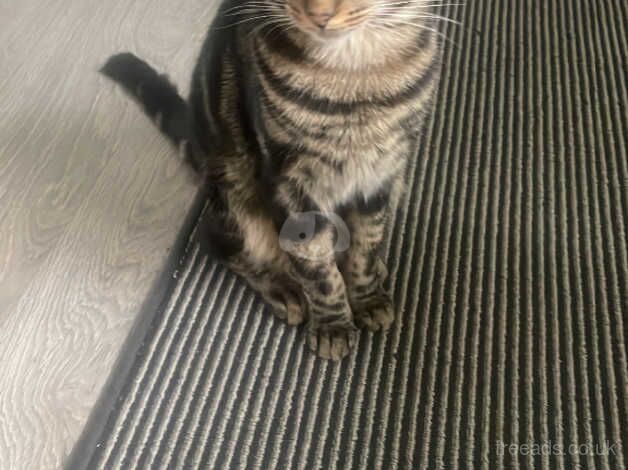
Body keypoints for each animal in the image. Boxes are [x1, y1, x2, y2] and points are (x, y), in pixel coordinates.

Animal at [102, 0, 442, 360]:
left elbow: (366, 244)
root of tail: (197, 145)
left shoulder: (380, 174)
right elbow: (317, 266)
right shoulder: (290, 182)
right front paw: (332, 325)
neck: (355, 84)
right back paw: (284, 288)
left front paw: (367, 296)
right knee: (219, 242)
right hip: (235, 191)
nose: (320, 17)